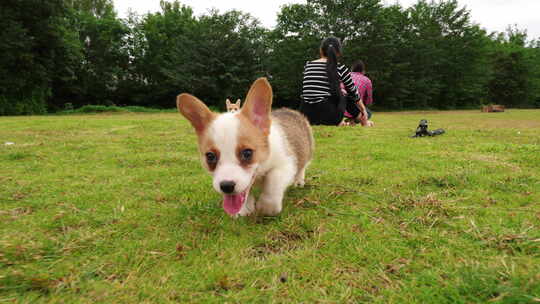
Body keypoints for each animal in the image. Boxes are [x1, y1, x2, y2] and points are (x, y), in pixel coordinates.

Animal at [175, 78, 314, 216]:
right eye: (210, 156)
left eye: (247, 153)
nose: (226, 186)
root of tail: (290, 110)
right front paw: (245, 208)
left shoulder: (285, 164)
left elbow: (273, 182)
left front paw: (267, 206)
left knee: (302, 167)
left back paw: (299, 181)